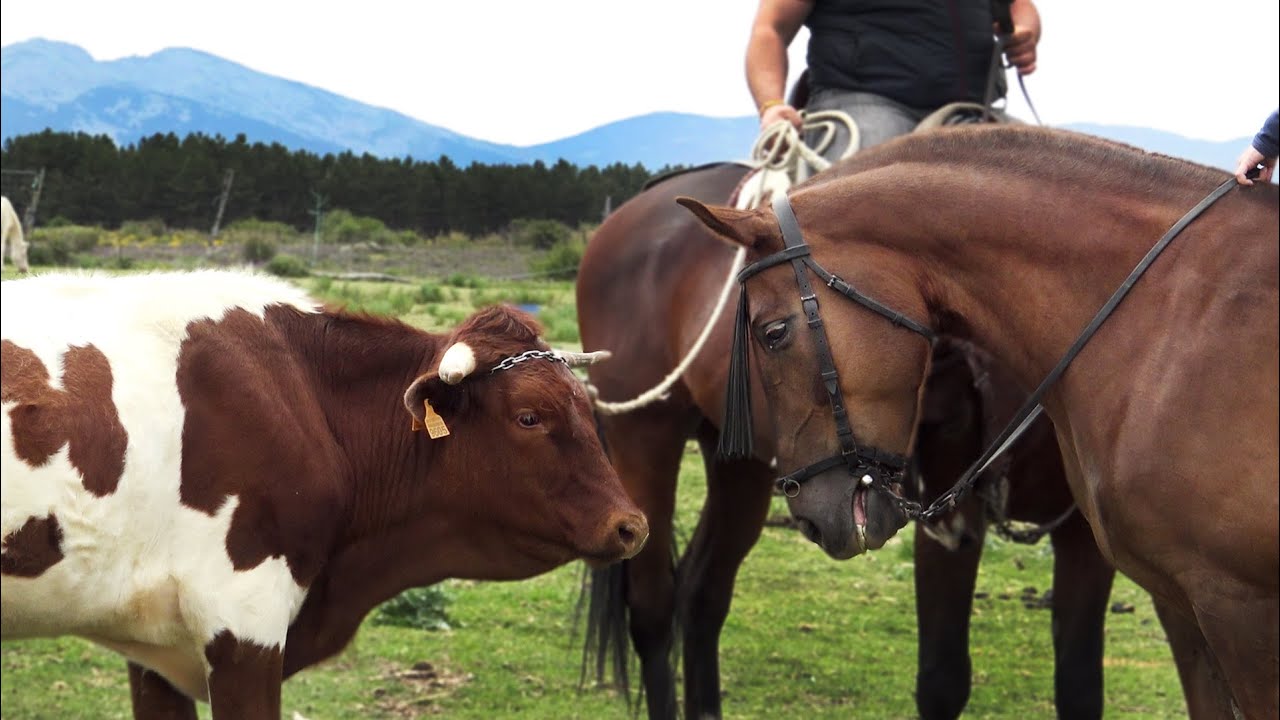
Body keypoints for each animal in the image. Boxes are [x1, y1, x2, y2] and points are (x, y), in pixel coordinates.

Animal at [576, 162, 1116, 719]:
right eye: (771, 333)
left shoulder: (1087, 536)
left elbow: (1079, 687)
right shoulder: (948, 521)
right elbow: (943, 681)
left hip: (738, 463)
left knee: (702, 593)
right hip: (645, 434)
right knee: (653, 609)